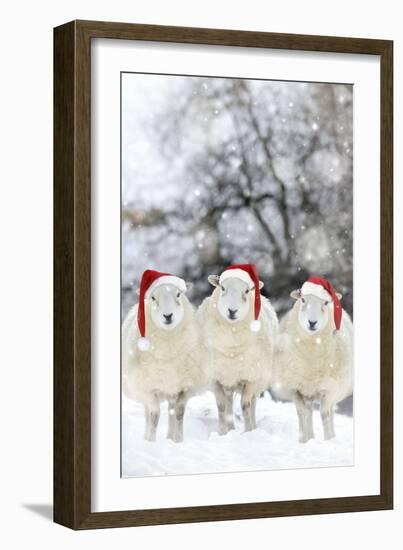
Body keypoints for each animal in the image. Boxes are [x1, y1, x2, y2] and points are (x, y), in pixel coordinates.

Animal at [122, 274, 205, 446]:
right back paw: (146, 437)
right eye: (153, 298)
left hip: (171, 388)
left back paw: (169, 437)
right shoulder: (148, 388)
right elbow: (154, 416)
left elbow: (179, 412)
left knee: (171, 410)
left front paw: (179, 441)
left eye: (179, 294)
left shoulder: (185, 387)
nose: (168, 316)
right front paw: (151, 442)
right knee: (148, 414)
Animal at [198, 266, 280, 438]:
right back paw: (231, 428)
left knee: (253, 403)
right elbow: (221, 405)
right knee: (229, 401)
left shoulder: (251, 378)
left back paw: (253, 427)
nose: (232, 311)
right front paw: (222, 433)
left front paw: (248, 431)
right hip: (228, 377)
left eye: (247, 290)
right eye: (222, 288)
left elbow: (245, 405)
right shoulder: (214, 378)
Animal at [274, 276, 354, 444]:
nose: (312, 323)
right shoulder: (294, 388)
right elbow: (302, 412)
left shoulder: (329, 390)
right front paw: (304, 440)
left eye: (326, 302)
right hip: (307, 391)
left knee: (329, 412)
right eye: (303, 299)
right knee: (308, 411)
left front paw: (329, 440)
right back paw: (309, 437)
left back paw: (331, 436)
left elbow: (325, 414)